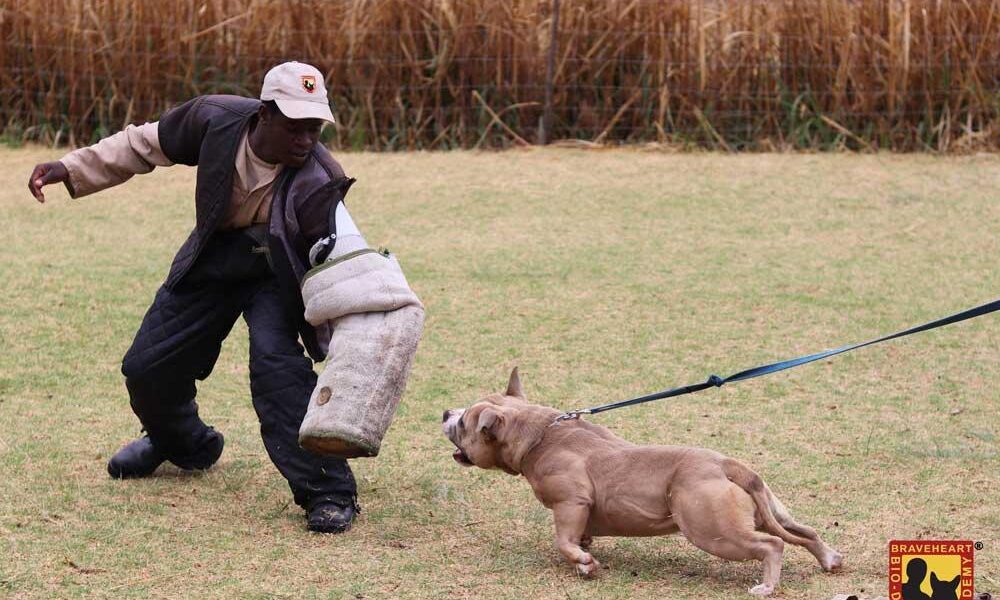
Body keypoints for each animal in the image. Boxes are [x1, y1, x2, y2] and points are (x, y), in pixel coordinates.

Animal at [442, 368, 840, 592]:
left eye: (465, 423)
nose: (446, 412)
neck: (540, 434)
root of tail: (727, 465)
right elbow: (579, 537)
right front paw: (585, 554)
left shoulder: (571, 503)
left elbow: (563, 541)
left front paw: (584, 563)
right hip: (772, 511)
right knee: (805, 532)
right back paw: (829, 559)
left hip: (713, 531)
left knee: (772, 545)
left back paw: (767, 585)